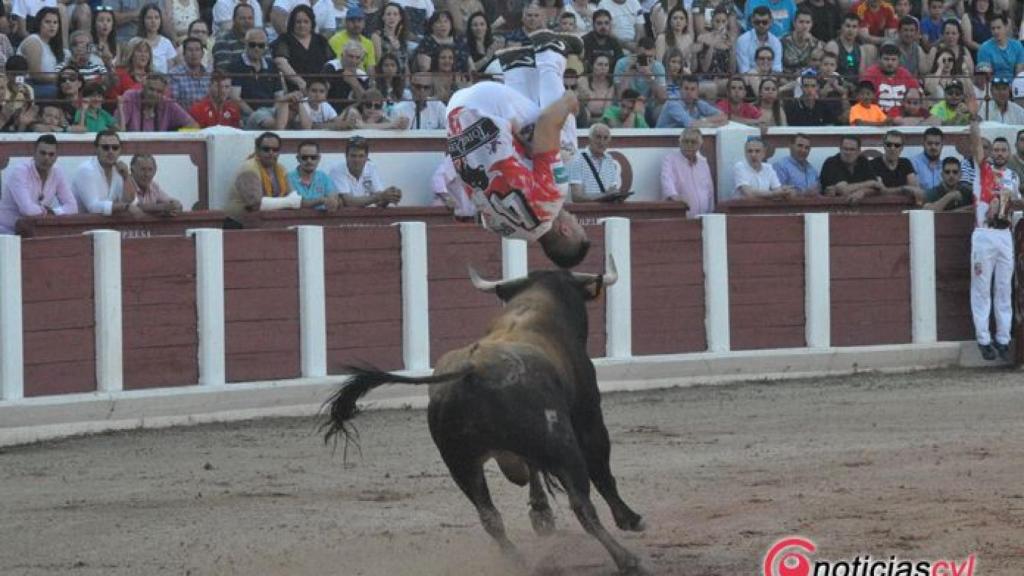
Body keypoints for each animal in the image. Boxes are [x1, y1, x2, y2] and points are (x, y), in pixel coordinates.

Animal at [321, 258, 647, 569]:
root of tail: (473, 370)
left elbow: (532, 470)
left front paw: (541, 516)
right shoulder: (588, 417)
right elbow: (601, 470)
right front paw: (630, 519)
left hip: (460, 462)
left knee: (489, 516)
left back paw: (517, 560)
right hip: (561, 446)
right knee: (582, 505)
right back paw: (627, 559)